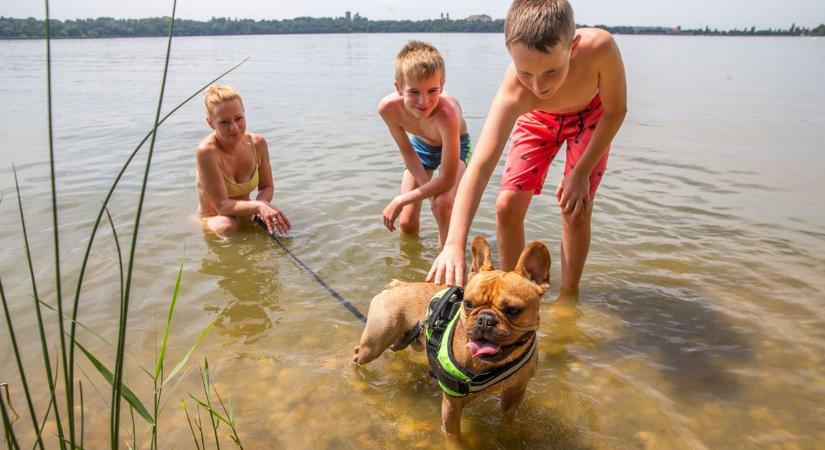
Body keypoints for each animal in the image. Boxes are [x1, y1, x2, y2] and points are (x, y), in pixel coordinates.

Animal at [352, 236, 552, 436]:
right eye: (468, 304)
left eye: (513, 310)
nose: (485, 319)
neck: (490, 365)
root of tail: (398, 286)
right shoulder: (452, 406)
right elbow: (454, 436)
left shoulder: (515, 392)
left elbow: (507, 420)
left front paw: (508, 434)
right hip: (374, 345)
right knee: (358, 354)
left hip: (399, 341)